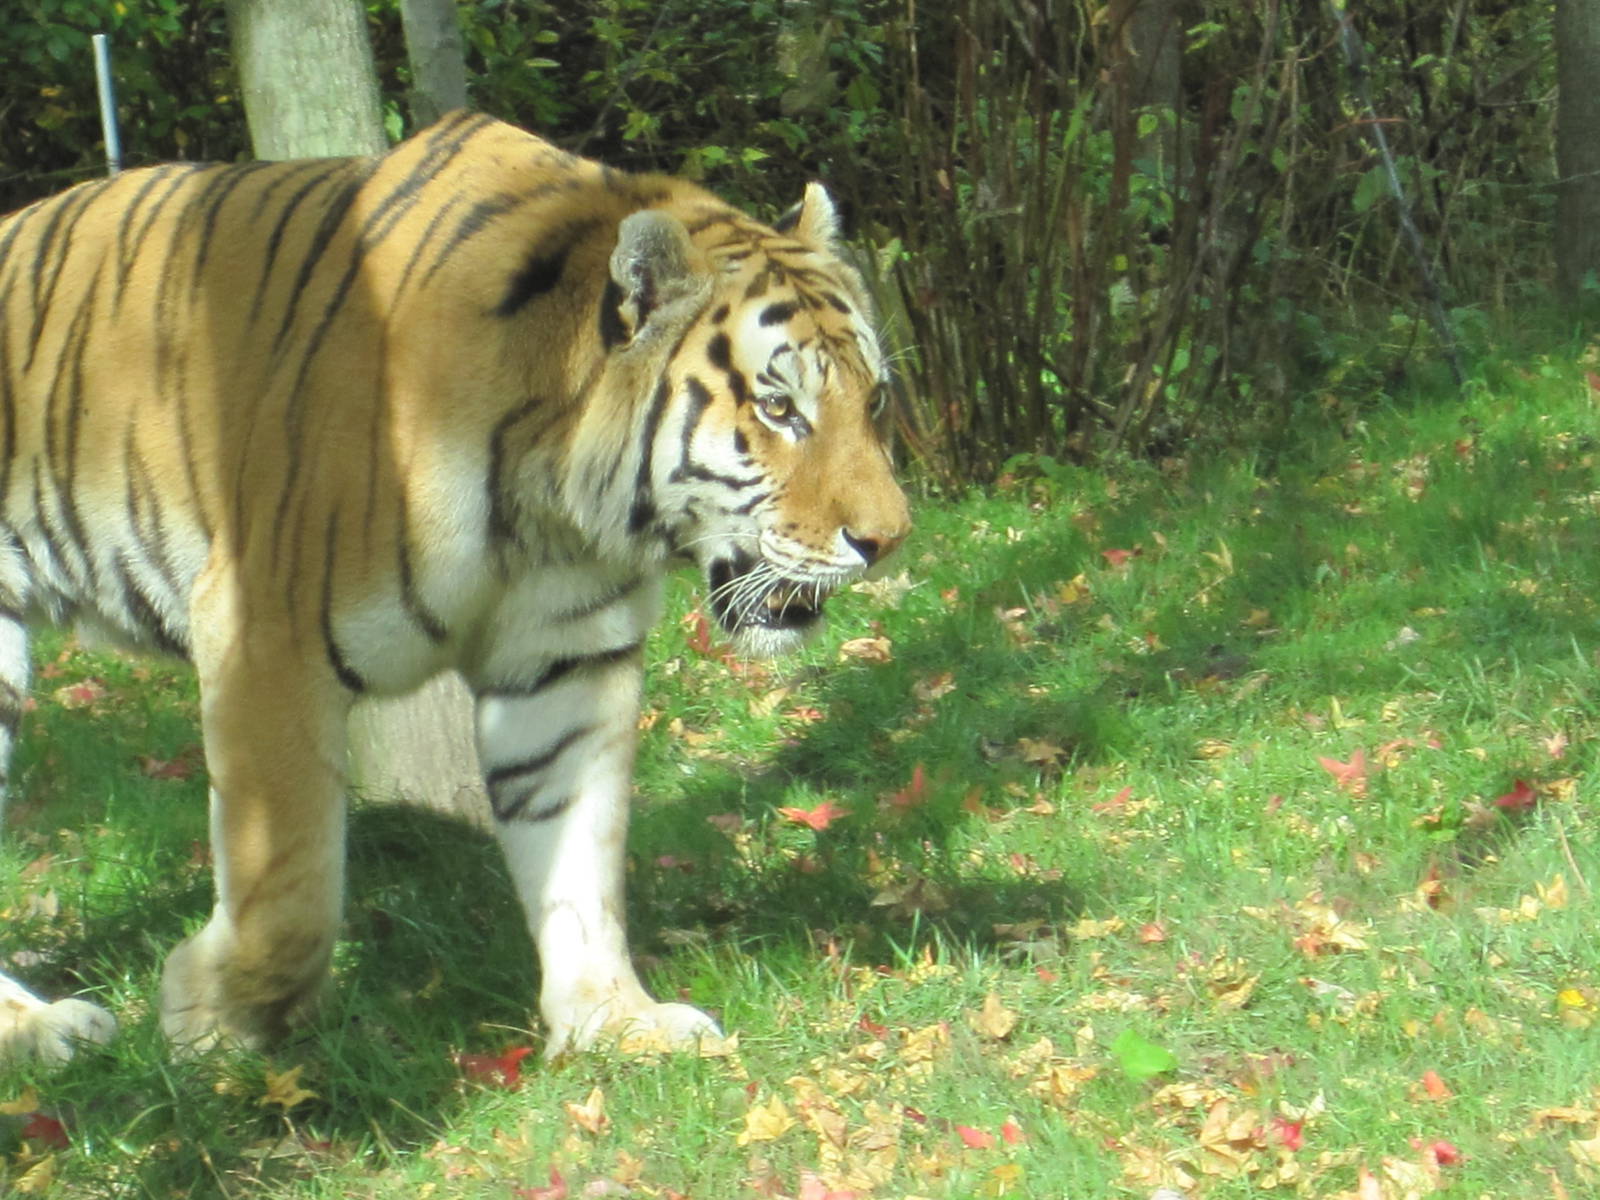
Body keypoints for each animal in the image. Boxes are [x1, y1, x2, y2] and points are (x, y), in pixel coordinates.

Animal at [0, 110, 910, 1064]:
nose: (889, 540)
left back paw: (41, 1028)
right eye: (778, 410)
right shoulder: (261, 634)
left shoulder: (565, 659)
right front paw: (209, 1016)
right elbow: (290, 887)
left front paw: (613, 1019)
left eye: (875, 400)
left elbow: (579, 849)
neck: (552, 497)